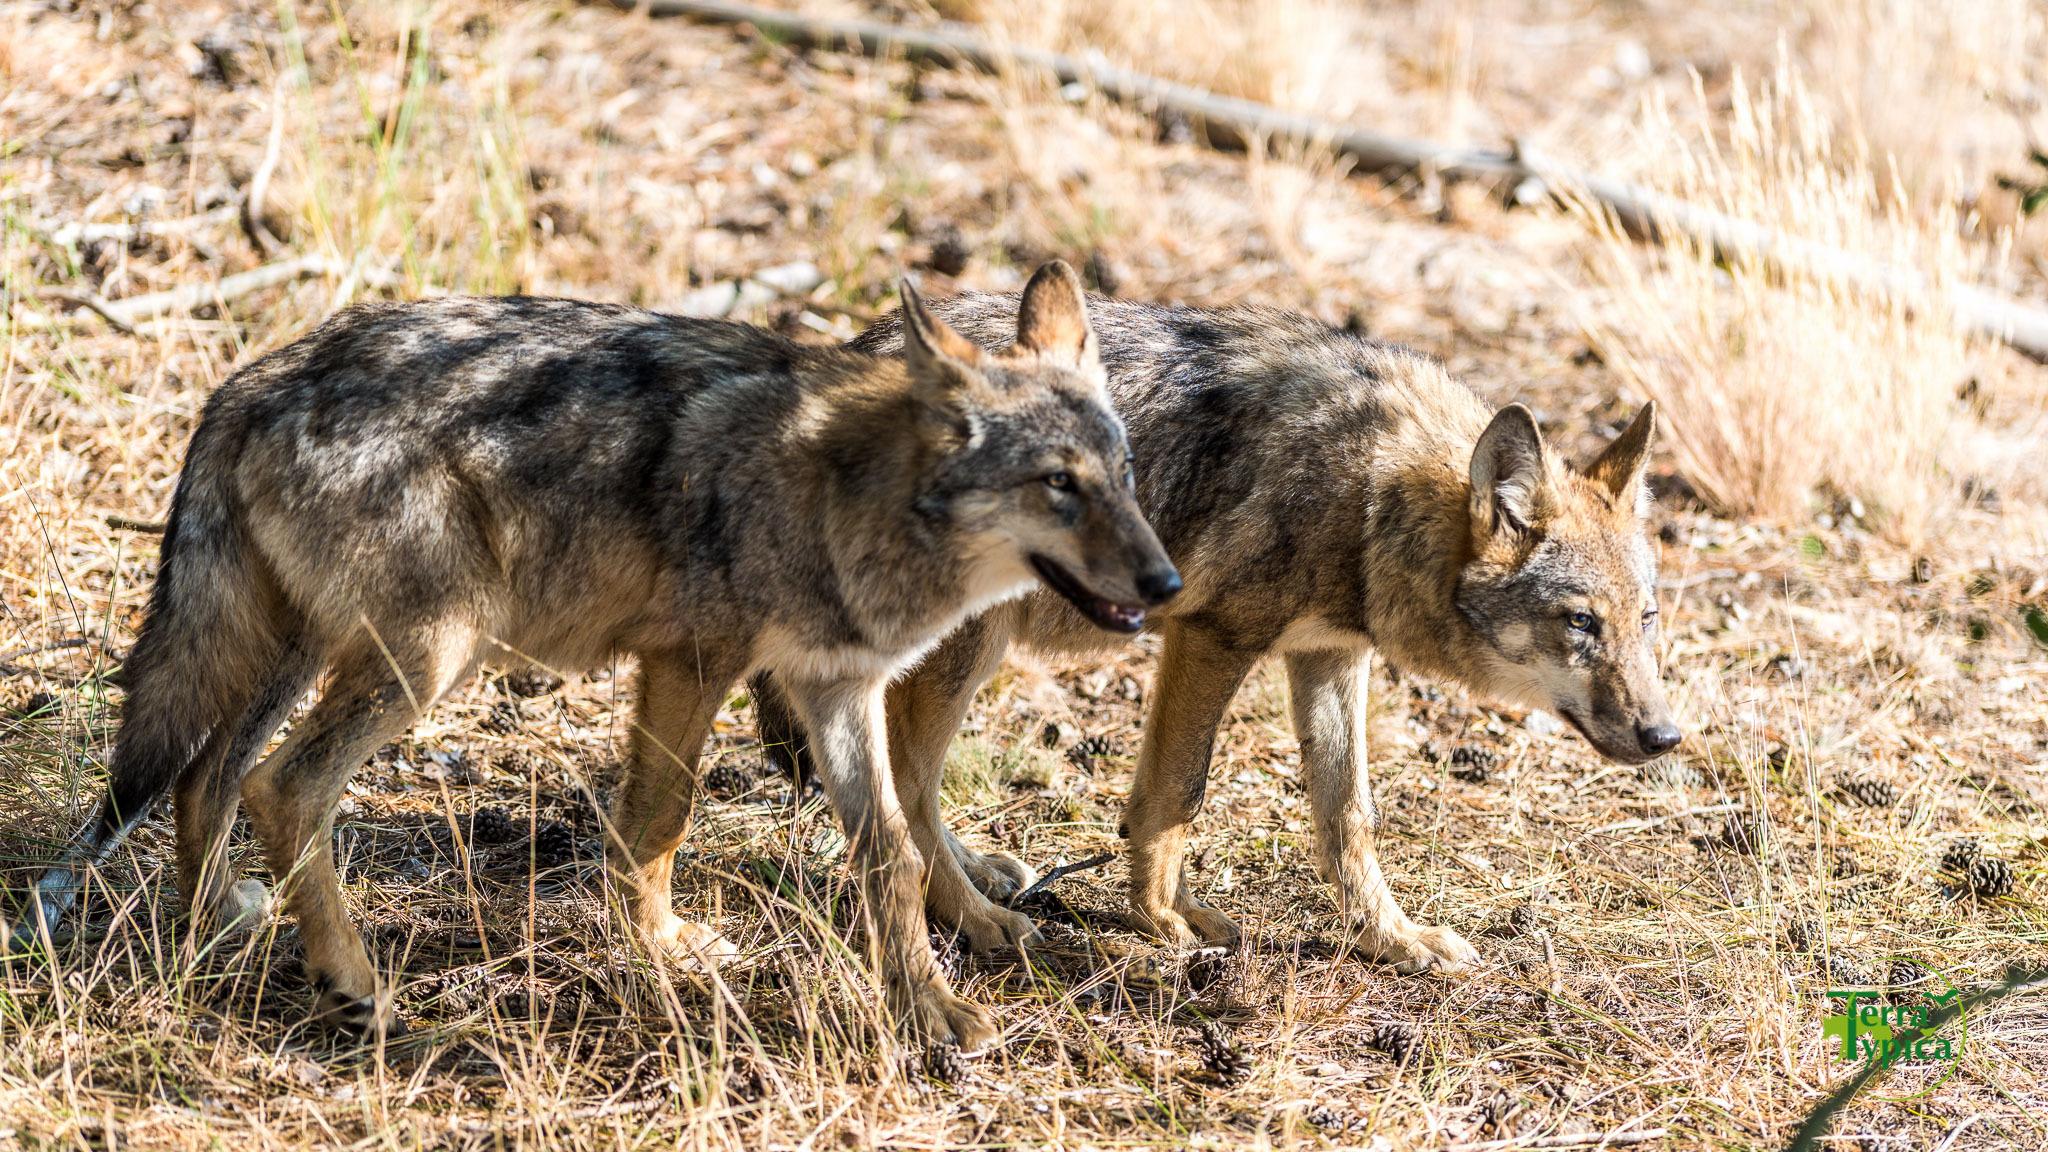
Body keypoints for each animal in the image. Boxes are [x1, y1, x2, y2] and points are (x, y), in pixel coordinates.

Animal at [9, 263, 1178, 1050]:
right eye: (1058, 484)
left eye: (1123, 475)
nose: (1166, 583)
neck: (842, 494)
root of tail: (252, 379)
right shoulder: (692, 662)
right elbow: (662, 817)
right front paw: (658, 950)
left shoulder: (837, 688)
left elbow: (888, 853)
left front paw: (935, 1006)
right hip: (428, 659)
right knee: (280, 787)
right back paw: (353, 984)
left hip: (313, 654)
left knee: (205, 778)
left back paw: (216, 936)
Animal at [756, 293, 1680, 975]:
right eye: (1579, 623)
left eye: (1644, 620)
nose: (1665, 735)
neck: (1374, 489)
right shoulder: (1212, 636)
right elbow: (1178, 792)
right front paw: (1164, 920)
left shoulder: (1329, 656)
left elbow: (1349, 814)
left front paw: (1391, 939)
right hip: (972, 644)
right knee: (908, 778)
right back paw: (977, 919)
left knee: (901, 771)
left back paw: (982, 875)